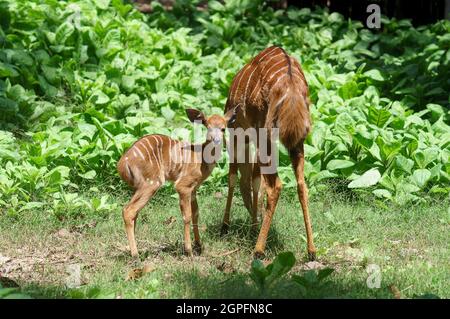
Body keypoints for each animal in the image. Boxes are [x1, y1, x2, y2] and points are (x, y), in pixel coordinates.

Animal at [118, 106, 241, 258]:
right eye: (208, 127)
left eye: (223, 128)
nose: (217, 140)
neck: (201, 159)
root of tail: (122, 164)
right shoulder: (183, 185)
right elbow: (186, 216)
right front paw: (189, 251)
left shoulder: (193, 188)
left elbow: (195, 214)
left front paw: (199, 246)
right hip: (151, 182)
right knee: (128, 210)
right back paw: (136, 255)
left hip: (140, 185)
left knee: (133, 212)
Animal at [222, 47, 316, 262]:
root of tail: (292, 88)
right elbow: (256, 179)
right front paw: (253, 225)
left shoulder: (236, 134)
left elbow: (233, 176)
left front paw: (226, 226)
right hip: (296, 142)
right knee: (301, 185)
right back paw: (312, 250)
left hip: (265, 133)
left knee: (275, 186)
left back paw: (258, 250)